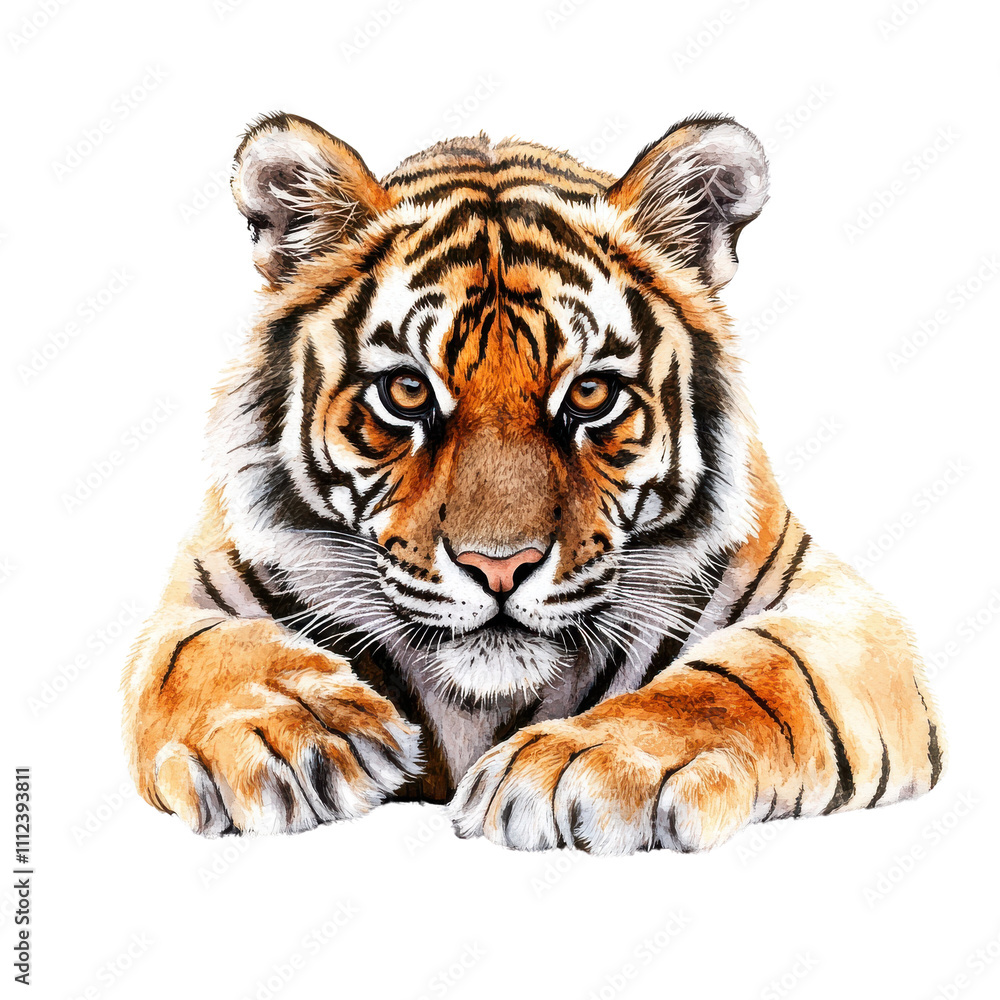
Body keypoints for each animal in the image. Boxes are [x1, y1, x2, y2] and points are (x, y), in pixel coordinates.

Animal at [122, 111, 944, 854]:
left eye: (591, 394)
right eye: (407, 393)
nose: (499, 568)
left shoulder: (839, 611)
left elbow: (752, 676)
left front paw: (590, 763)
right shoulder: (198, 593)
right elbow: (196, 655)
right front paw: (287, 730)